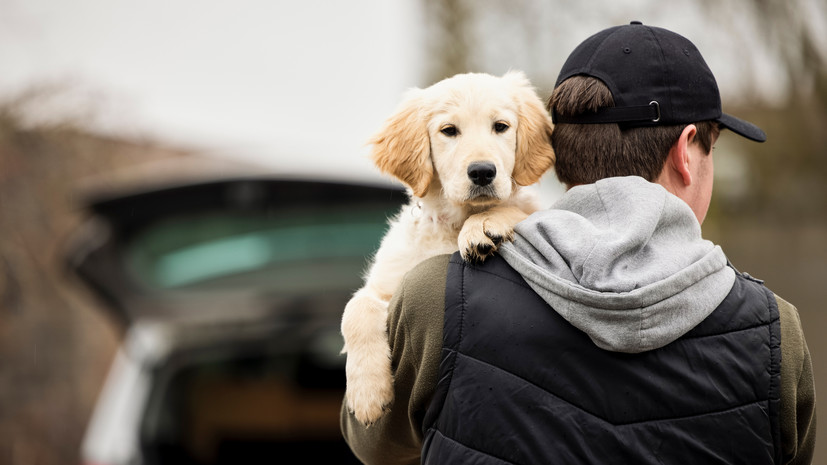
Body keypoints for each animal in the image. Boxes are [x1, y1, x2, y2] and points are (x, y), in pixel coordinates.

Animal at [340, 70, 552, 424]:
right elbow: (355, 309)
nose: (483, 172)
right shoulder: (387, 284)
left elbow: (519, 209)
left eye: (501, 127)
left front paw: (484, 224)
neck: (453, 223)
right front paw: (367, 394)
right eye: (449, 131)